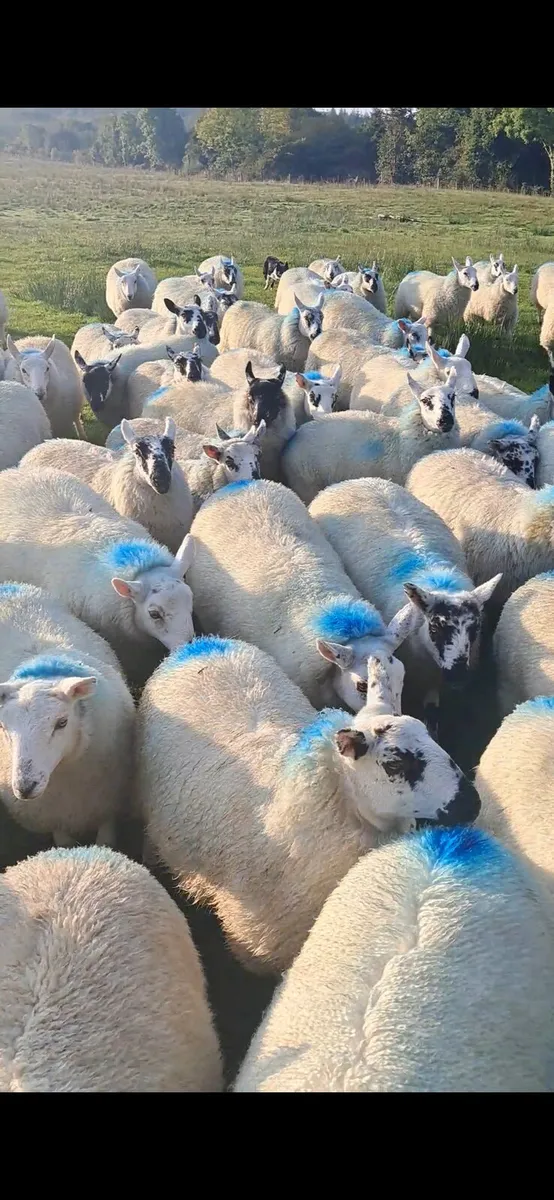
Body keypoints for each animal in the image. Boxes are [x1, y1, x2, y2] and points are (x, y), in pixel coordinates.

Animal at [0, 582, 134, 846]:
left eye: (62, 723)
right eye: (4, 728)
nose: (25, 786)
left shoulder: (108, 806)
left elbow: (106, 843)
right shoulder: (55, 818)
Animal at [282, 372, 461, 505]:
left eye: (453, 396)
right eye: (425, 401)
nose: (446, 420)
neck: (402, 439)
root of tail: (299, 432)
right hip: (306, 484)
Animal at [309, 477, 501, 734]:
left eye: (476, 629)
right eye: (434, 628)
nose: (459, 677)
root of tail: (354, 480)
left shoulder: (432, 680)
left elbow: (432, 712)